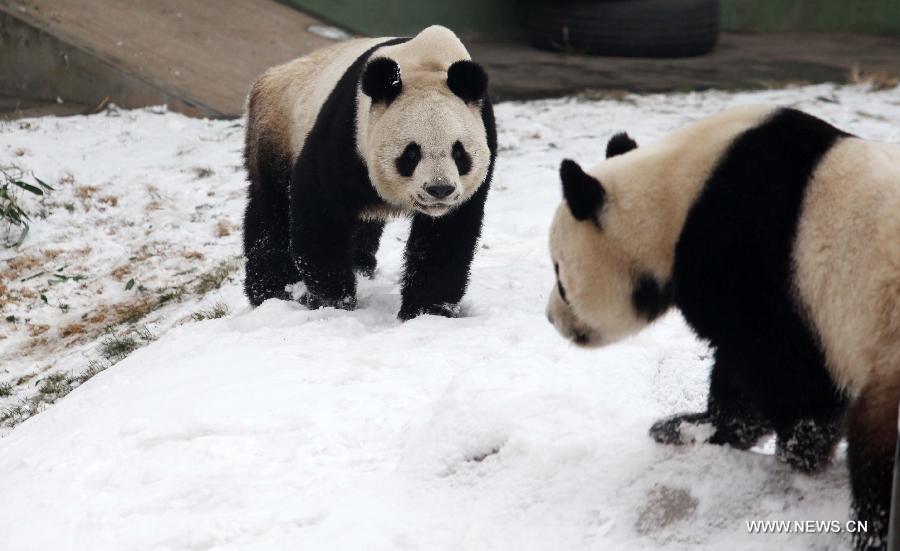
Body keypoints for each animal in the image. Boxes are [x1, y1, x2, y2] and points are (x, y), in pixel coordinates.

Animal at [243, 25, 496, 320]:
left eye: (459, 153)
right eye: (412, 154)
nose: (439, 190)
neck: (428, 61)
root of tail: (271, 75)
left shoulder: (483, 131)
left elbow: (446, 236)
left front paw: (428, 312)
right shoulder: (347, 132)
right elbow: (320, 210)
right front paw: (335, 301)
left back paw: (360, 267)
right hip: (278, 130)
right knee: (271, 211)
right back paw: (271, 290)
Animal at [540, 104, 900, 551]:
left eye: (559, 275)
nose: (550, 316)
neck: (676, 196)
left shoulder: (750, 261)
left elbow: (778, 371)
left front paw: (793, 450)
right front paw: (688, 427)